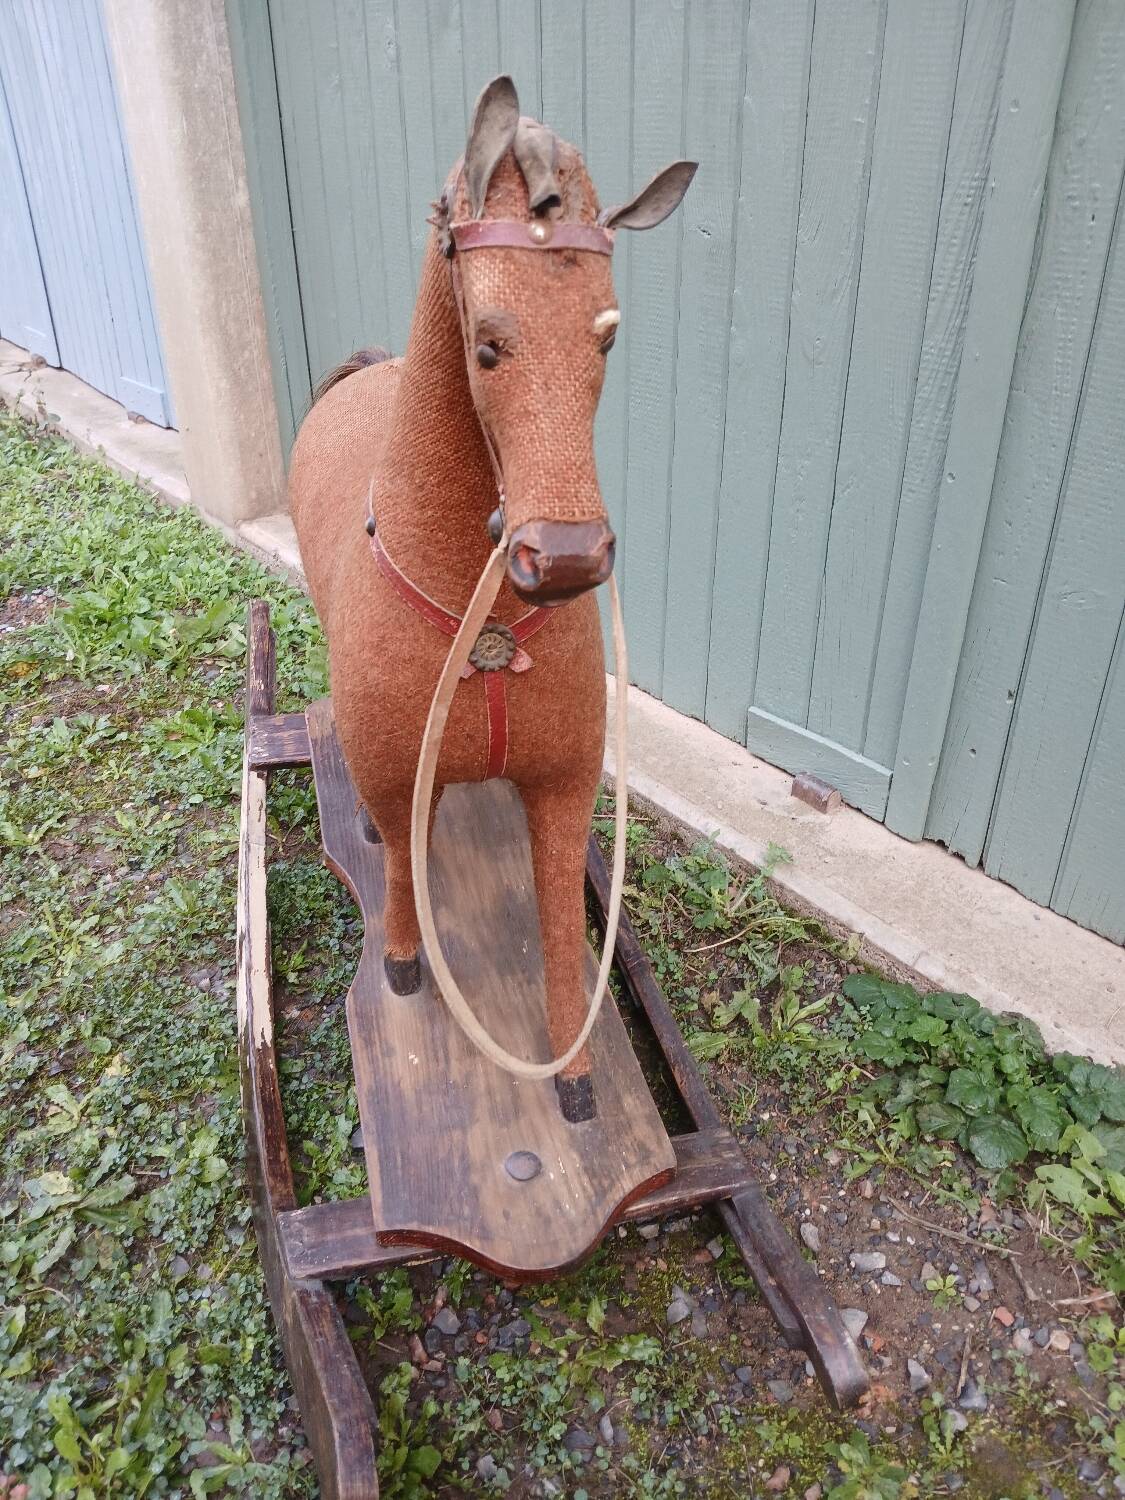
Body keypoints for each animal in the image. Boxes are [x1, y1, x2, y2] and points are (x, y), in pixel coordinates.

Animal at [289, 76, 694, 1121]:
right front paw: (400, 972)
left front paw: (576, 1084)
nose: (566, 559)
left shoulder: (562, 787)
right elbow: (400, 881)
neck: (488, 630)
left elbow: (558, 935)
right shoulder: (401, 777)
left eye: (608, 334)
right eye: (487, 343)